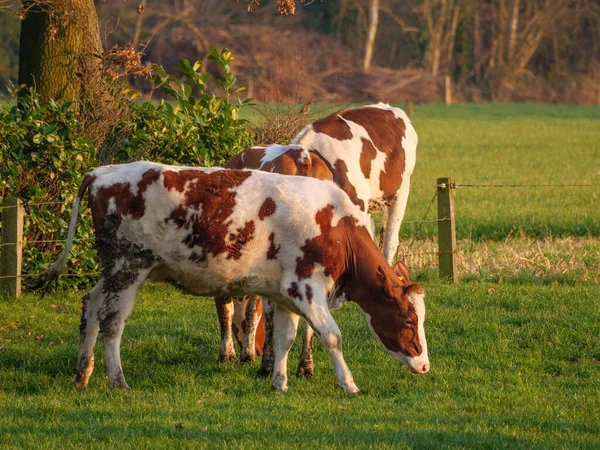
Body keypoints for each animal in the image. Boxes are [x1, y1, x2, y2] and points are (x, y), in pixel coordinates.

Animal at [34, 162, 426, 394]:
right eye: (409, 320)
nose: (424, 365)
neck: (335, 226)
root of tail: (102, 172)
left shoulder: (284, 293)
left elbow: (284, 339)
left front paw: (279, 383)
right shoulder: (306, 287)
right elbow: (332, 336)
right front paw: (349, 384)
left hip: (113, 271)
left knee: (90, 305)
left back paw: (82, 373)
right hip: (128, 267)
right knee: (112, 322)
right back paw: (118, 381)